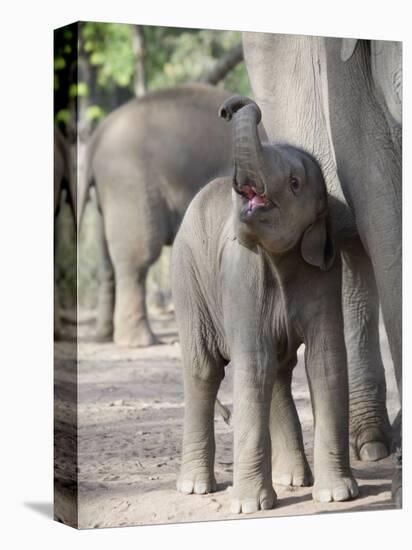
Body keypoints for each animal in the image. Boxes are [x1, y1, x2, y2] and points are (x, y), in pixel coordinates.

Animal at [79, 83, 235, 350]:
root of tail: (95, 140)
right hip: (129, 185)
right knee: (138, 259)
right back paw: (139, 342)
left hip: (106, 196)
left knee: (107, 259)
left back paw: (104, 337)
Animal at [171, 97, 358, 516]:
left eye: (294, 183)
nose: (229, 107)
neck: (281, 259)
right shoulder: (241, 278)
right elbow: (252, 361)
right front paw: (247, 507)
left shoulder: (325, 274)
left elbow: (325, 360)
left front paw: (338, 495)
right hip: (188, 278)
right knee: (205, 369)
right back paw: (195, 488)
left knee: (277, 370)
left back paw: (295, 480)